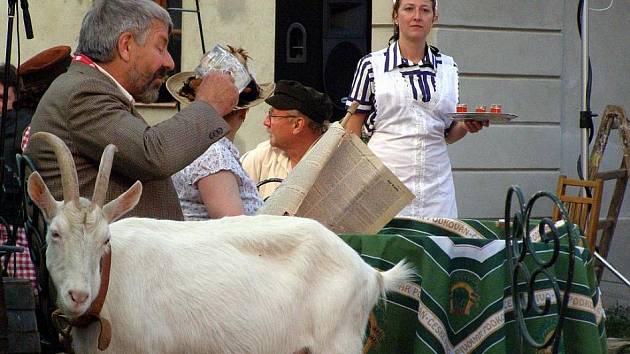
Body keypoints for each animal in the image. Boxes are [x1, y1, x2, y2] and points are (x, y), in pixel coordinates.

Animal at [28, 133, 414, 354]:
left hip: (337, 343)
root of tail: (369, 273)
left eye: (105, 240)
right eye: (55, 233)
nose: (79, 295)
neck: (110, 280)